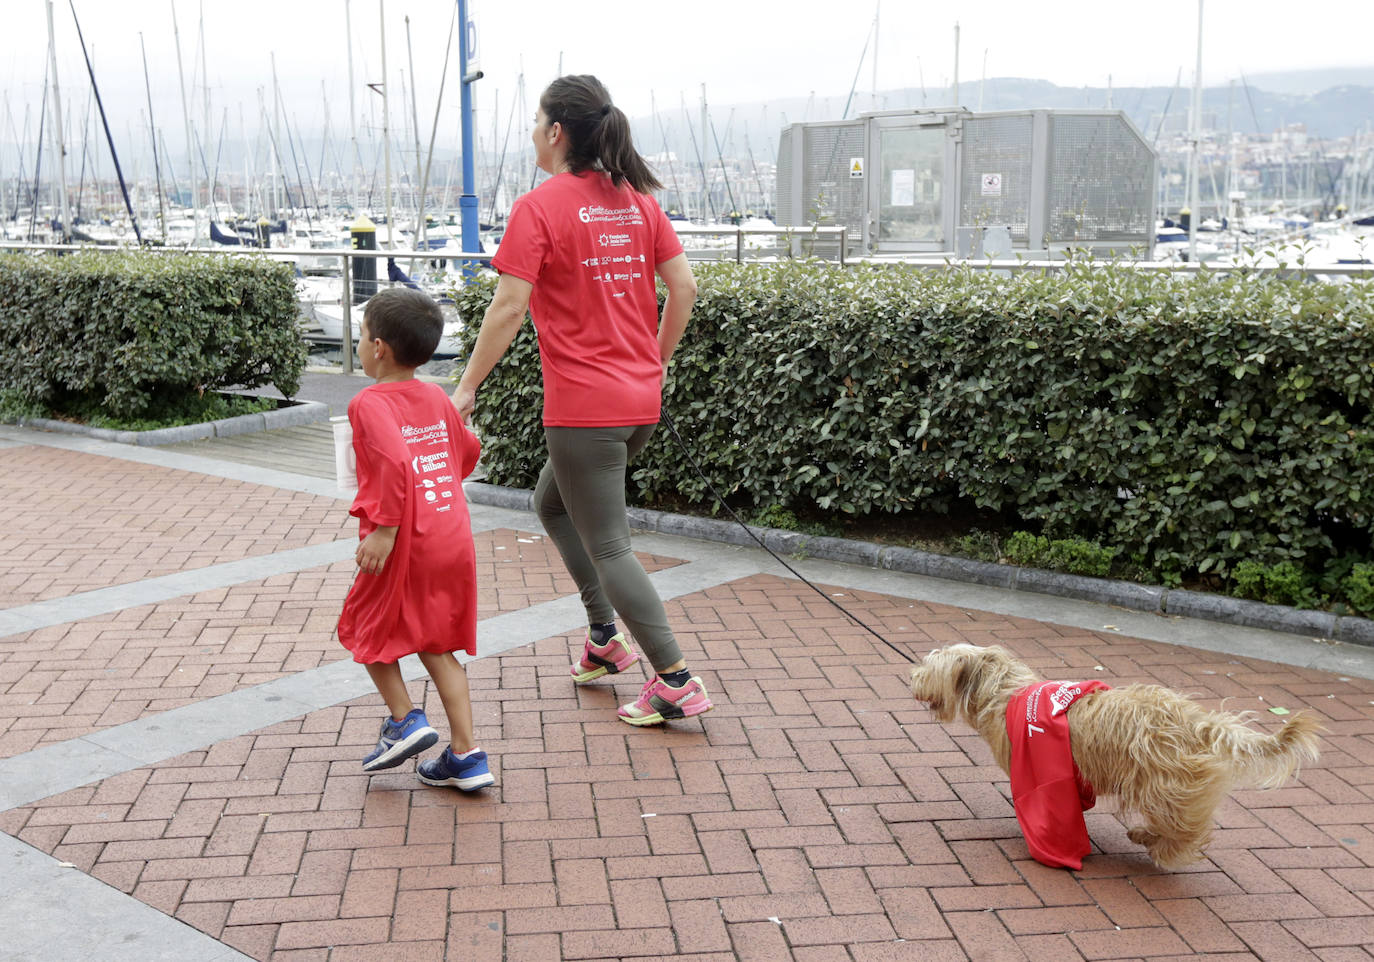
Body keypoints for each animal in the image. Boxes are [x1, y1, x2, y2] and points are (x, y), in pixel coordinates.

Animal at [912, 643, 1319, 868]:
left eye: (933, 665)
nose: (913, 676)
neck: (1005, 692)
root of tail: (1199, 722)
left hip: (1163, 782)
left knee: (1188, 830)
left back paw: (1157, 845)